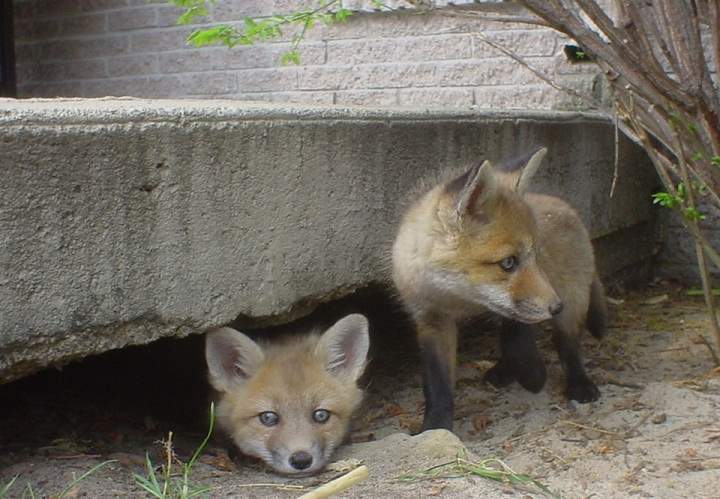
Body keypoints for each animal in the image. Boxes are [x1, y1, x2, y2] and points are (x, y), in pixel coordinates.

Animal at [391, 147, 607, 431]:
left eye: (536, 257)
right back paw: (504, 370)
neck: (459, 299)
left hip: (574, 301)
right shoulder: (431, 319)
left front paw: (533, 374)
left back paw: (579, 383)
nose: (556, 306)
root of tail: (567, 206)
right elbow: (437, 383)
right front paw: (435, 426)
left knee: (568, 346)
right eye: (508, 262)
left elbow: (517, 337)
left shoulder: (520, 304)